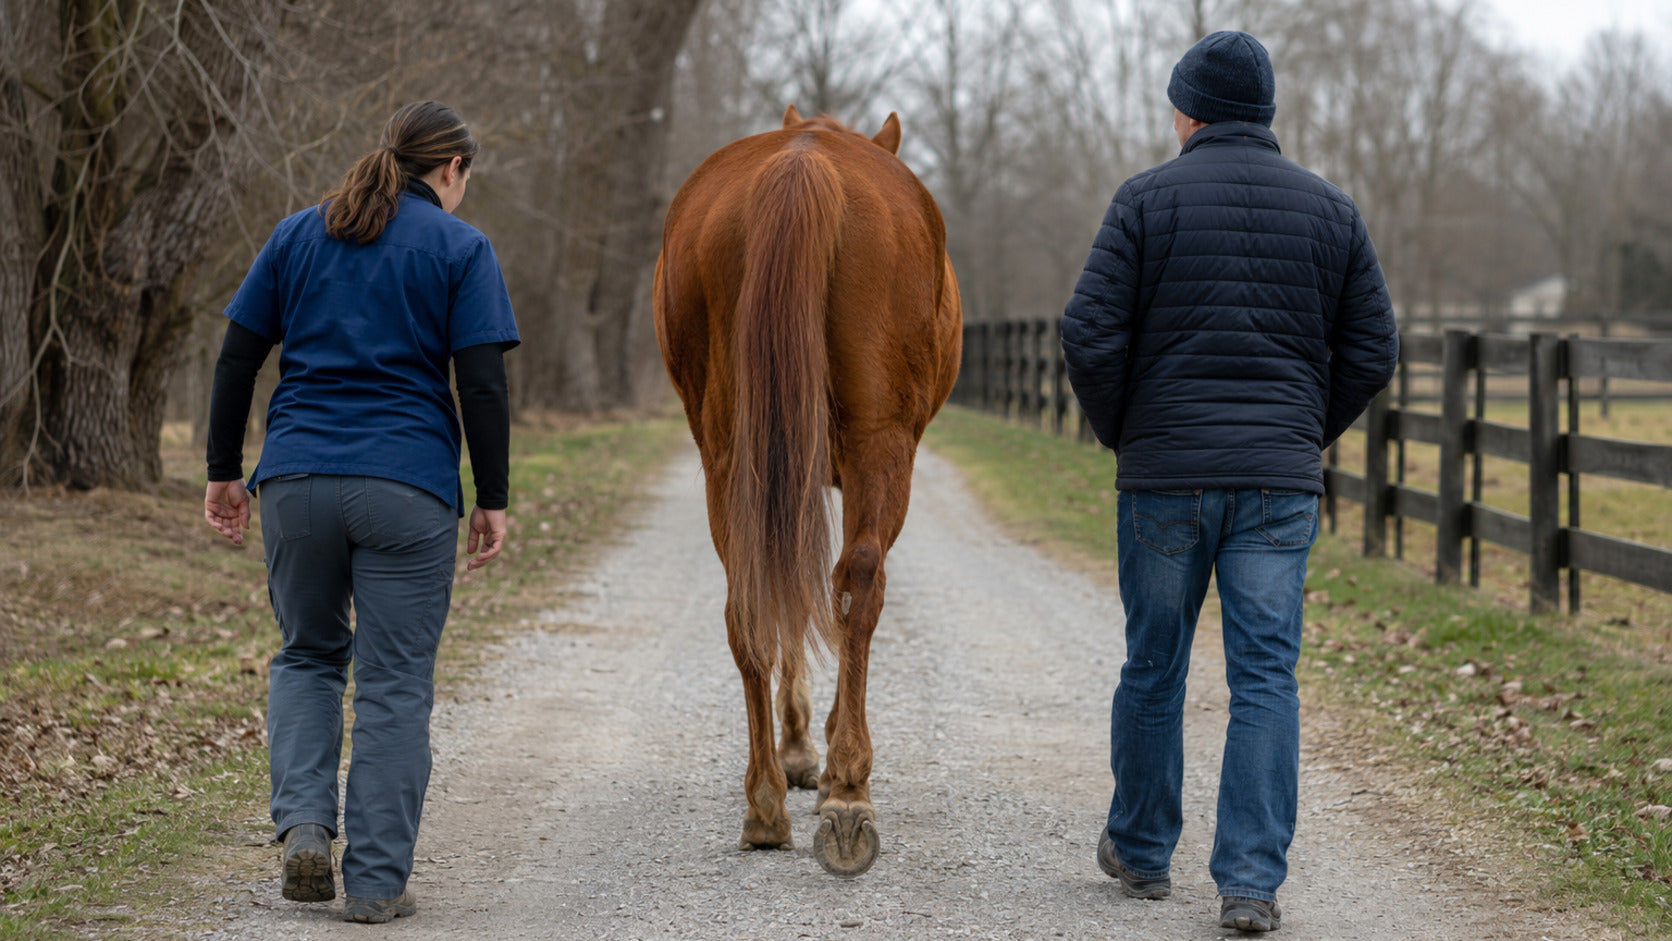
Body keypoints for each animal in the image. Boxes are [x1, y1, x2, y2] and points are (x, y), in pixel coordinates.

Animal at [653, 105, 961, 876]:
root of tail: (805, 156)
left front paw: (796, 754)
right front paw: (817, 760)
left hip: (731, 456)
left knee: (750, 600)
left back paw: (764, 804)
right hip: (882, 447)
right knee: (858, 585)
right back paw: (847, 791)